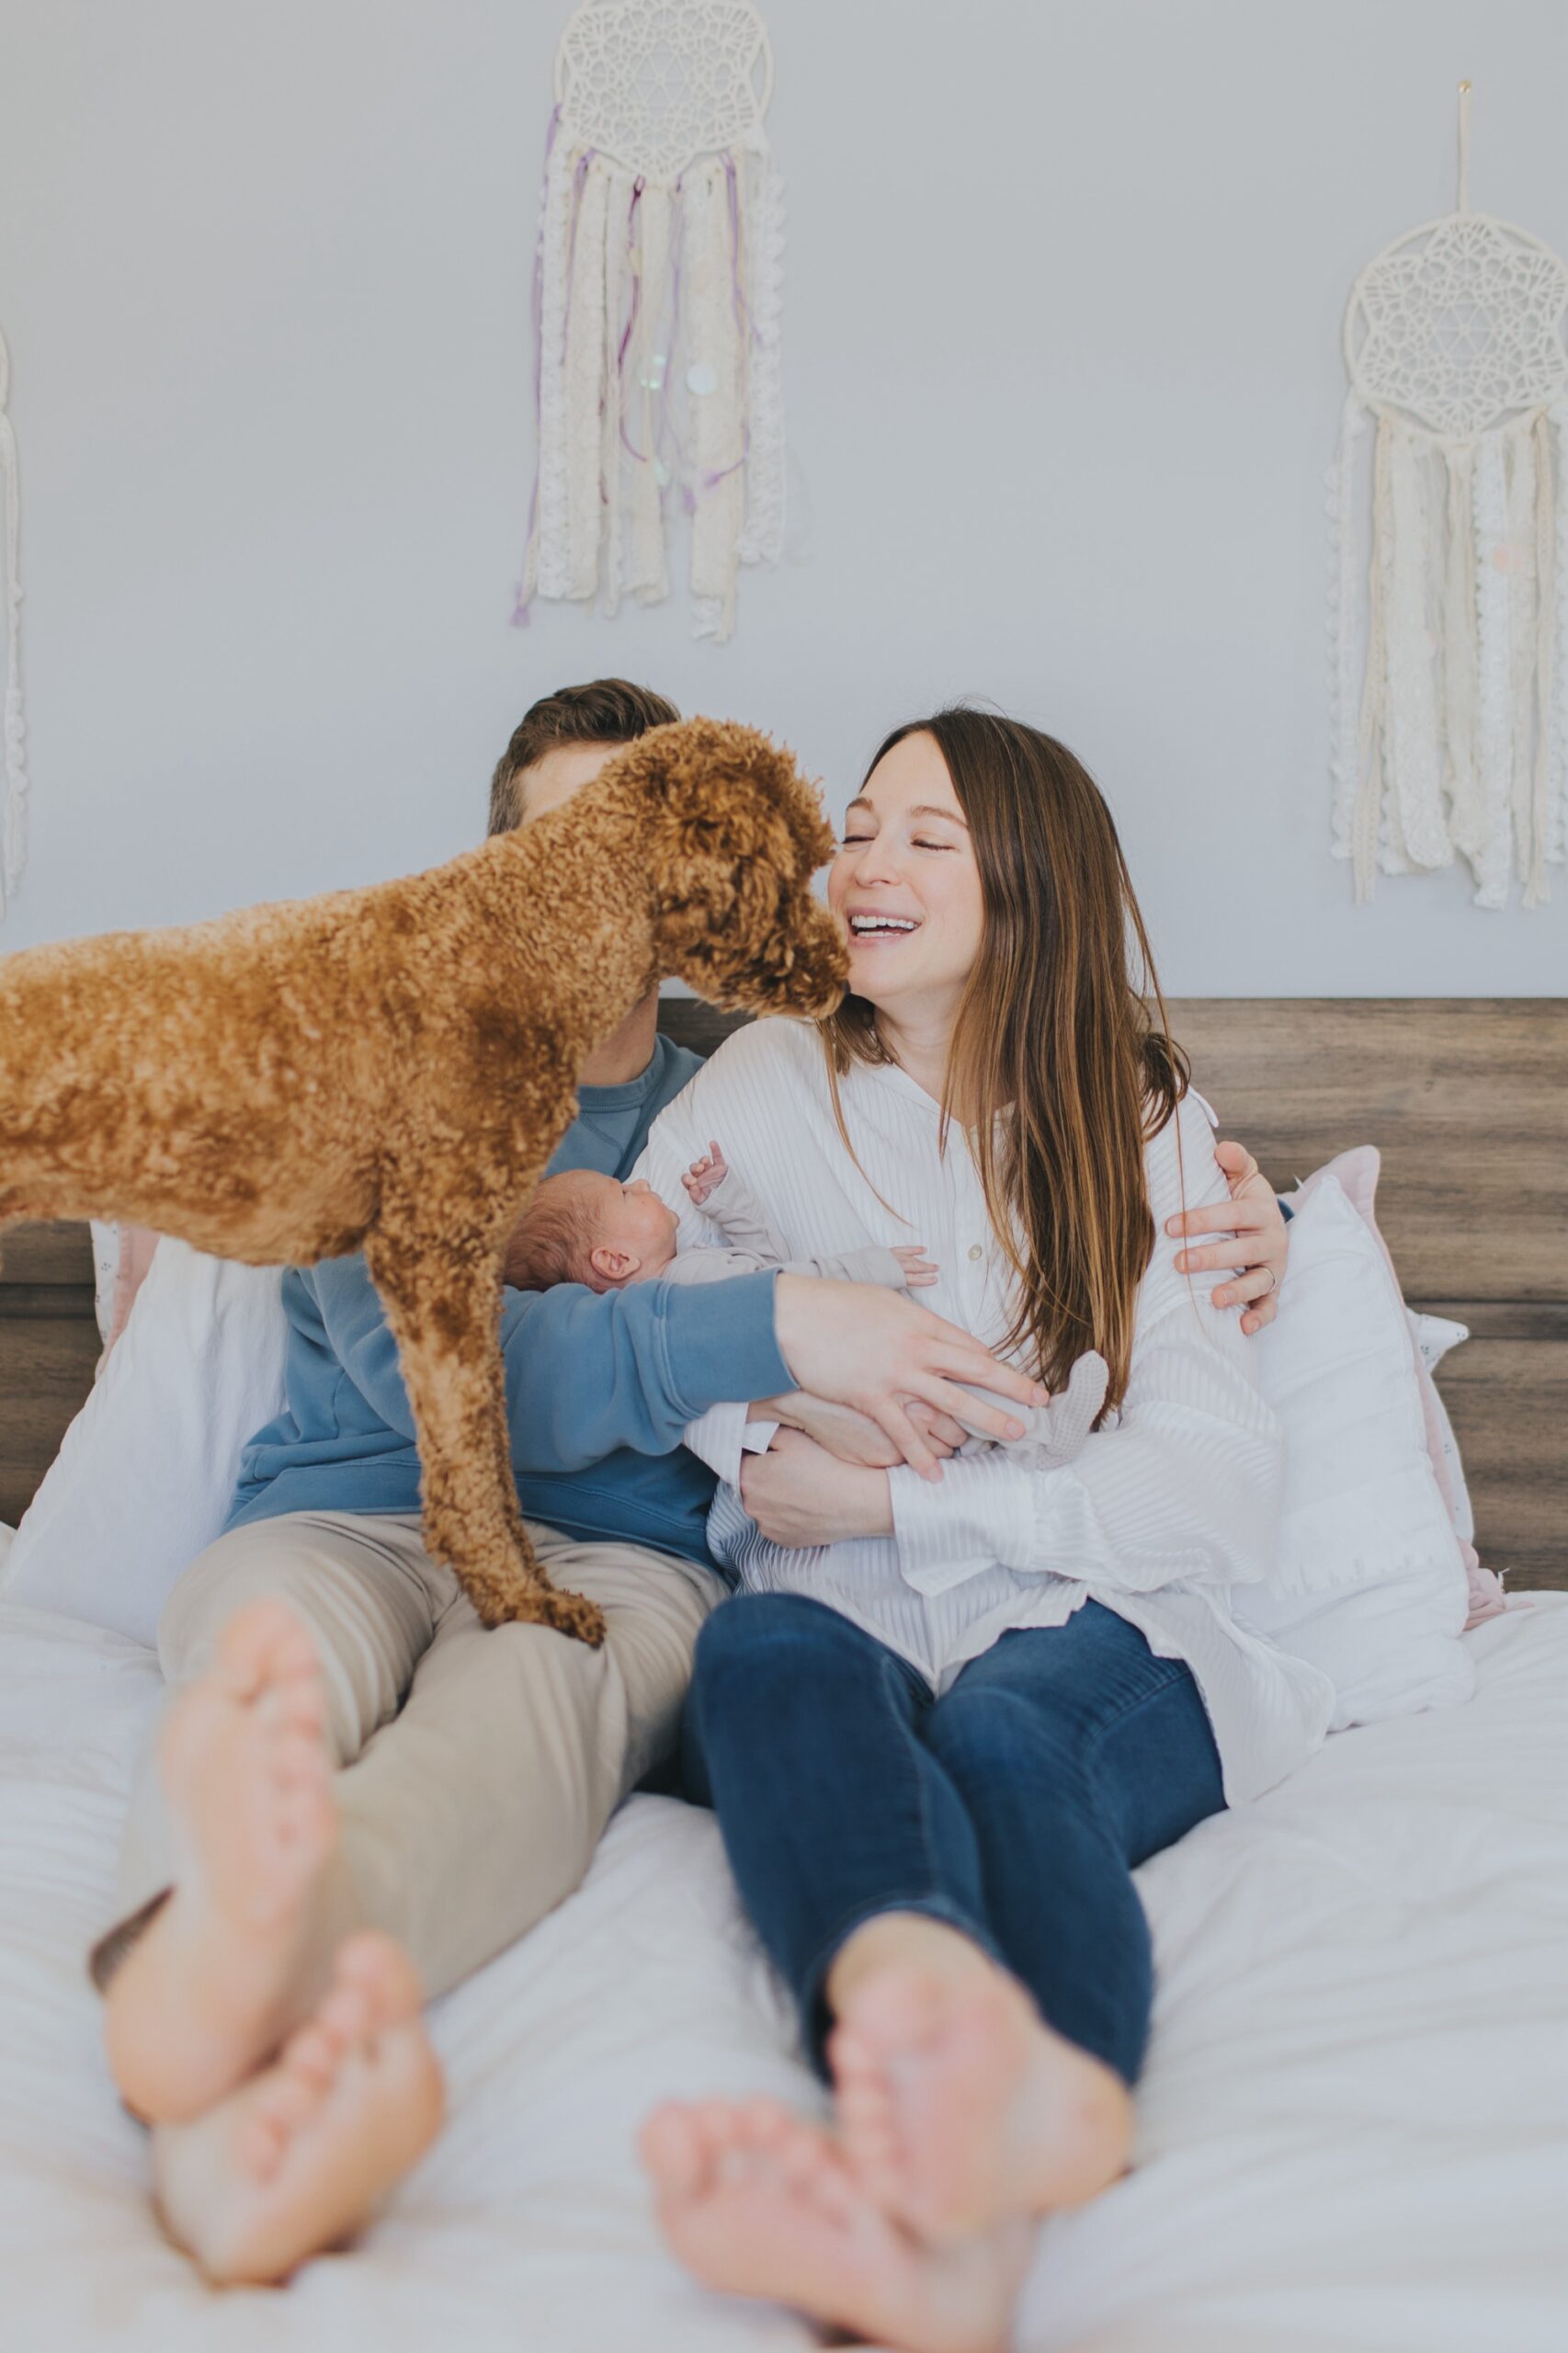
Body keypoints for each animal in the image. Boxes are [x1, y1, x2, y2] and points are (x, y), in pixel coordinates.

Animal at [0, 715, 843, 1637]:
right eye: (792, 869)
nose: (843, 973)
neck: (540, 934)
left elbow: (491, 1444)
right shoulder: (436, 1245)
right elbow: (471, 1448)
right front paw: (520, 1596)